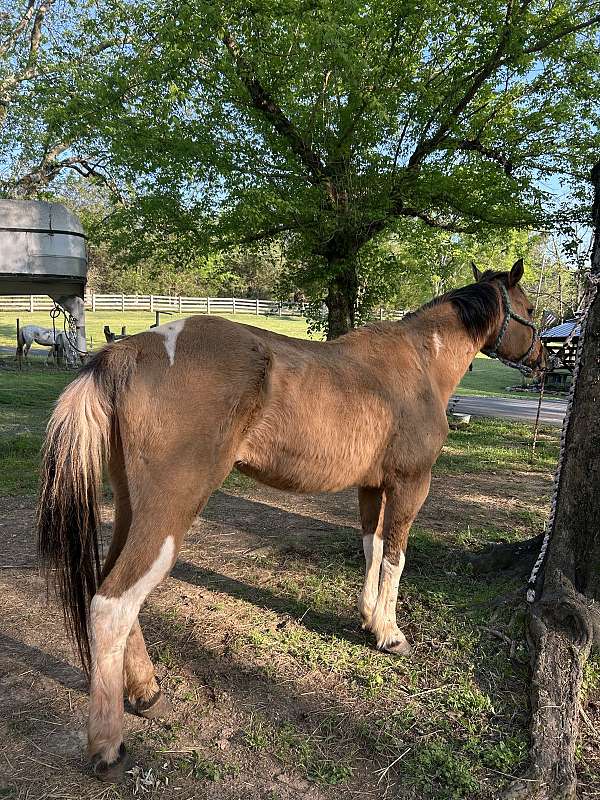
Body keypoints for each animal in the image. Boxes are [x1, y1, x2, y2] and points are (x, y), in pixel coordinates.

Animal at [37, 260, 545, 779]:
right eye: (529, 310)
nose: (545, 358)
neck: (418, 362)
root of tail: (125, 352)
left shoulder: (370, 487)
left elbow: (372, 548)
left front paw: (367, 618)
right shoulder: (409, 485)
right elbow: (396, 557)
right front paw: (388, 633)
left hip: (133, 509)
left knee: (113, 591)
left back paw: (146, 693)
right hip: (168, 514)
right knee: (113, 605)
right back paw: (107, 745)